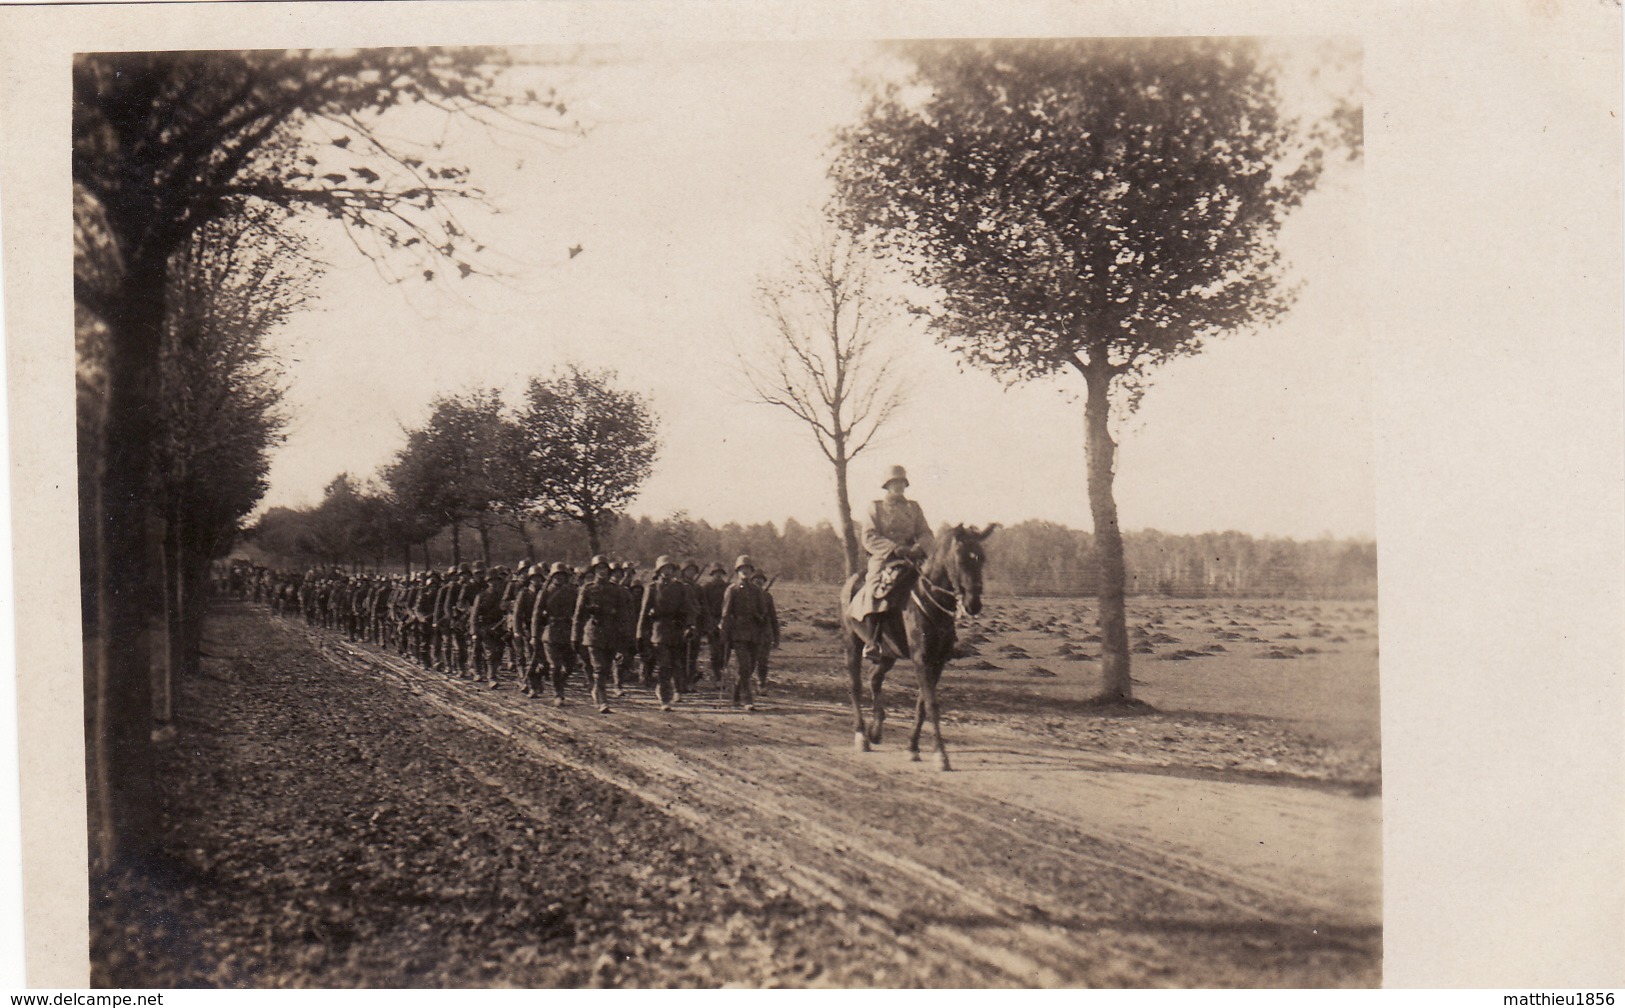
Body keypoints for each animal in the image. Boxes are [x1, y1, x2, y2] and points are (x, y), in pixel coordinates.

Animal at [845, 523, 994, 767]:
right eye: (960, 558)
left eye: (981, 558)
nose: (973, 604)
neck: (931, 600)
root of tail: (852, 580)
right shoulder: (921, 659)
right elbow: (932, 704)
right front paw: (941, 755)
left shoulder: (937, 662)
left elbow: (922, 704)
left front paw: (912, 747)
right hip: (852, 644)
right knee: (855, 685)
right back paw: (861, 736)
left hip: (887, 653)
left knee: (874, 678)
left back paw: (875, 730)